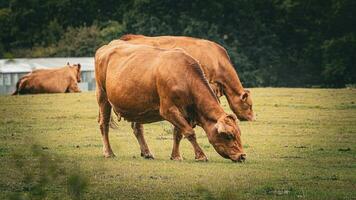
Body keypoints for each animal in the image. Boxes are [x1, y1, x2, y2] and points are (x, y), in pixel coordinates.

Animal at [94, 39, 246, 162]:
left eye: (239, 133)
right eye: (229, 135)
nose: (242, 156)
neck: (185, 77)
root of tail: (107, 46)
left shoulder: (183, 112)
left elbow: (178, 134)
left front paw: (176, 156)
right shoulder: (168, 109)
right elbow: (189, 132)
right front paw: (201, 155)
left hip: (137, 106)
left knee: (138, 129)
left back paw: (147, 152)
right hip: (102, 96)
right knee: (104, 124)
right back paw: (108, 152)